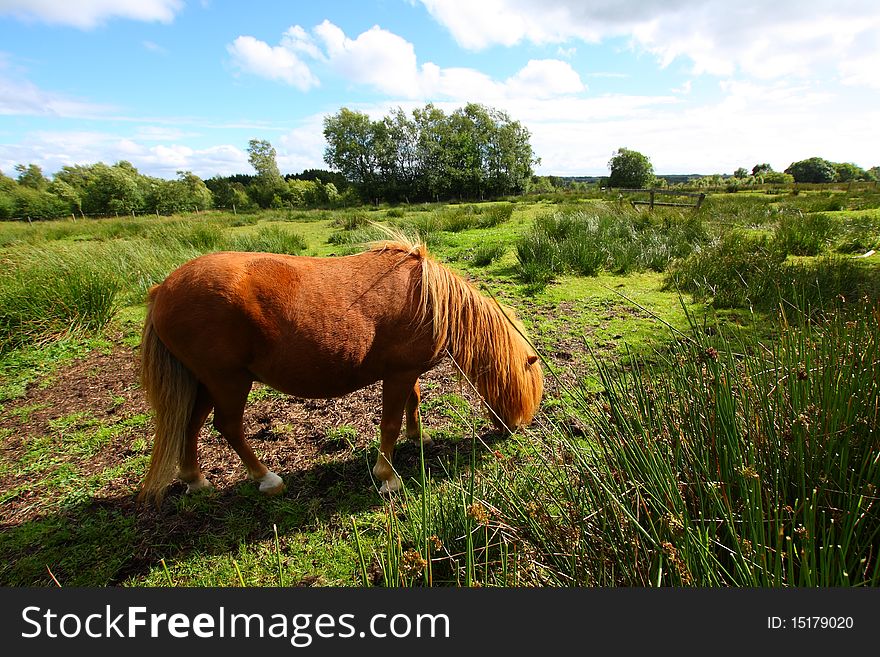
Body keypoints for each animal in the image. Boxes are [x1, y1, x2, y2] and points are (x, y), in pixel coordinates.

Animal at [136, 236, 544, 502]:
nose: (515, 428)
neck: (431, 299)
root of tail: (162, 289)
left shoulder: (407, 372)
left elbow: (413, 402)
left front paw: (418, 437)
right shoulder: (398, 373)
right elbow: (390, 422)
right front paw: (388, 476)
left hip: (203, 382)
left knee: (190, 424)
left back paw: (195, 480)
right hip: (227, 382)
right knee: (228, 426)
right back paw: (267, 479)